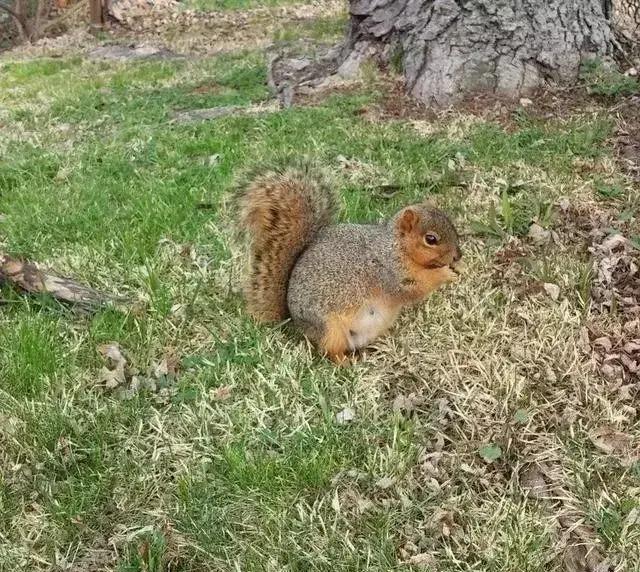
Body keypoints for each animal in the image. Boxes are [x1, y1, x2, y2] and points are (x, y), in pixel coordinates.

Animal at [235, 161, 460, 364]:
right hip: (330, 328)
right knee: (329, 350)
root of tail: (295, 323)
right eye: (431, 239)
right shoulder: (388, 271)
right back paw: (345, 362)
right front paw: (445, 274)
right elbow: (414, 288)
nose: (458, 256)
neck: (395, 247)